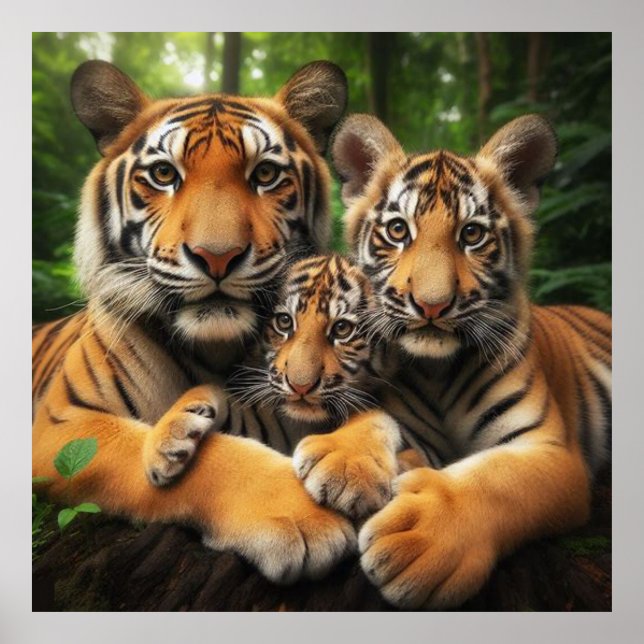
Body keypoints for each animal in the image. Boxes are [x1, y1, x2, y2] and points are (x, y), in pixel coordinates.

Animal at [32, 59, 359, 585]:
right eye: (164, 173)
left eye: (265, 174)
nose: (217, 256)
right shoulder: (61, 427)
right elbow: (187, 457)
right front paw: (300, 514)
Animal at [329, 113, 612, 609]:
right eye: (398, 231)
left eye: (471, 234)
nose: (432, 305)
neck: (438, 369)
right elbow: (368, 416)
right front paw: (344, 464)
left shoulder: (553, 452)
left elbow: (501, 480)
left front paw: (420, 539)